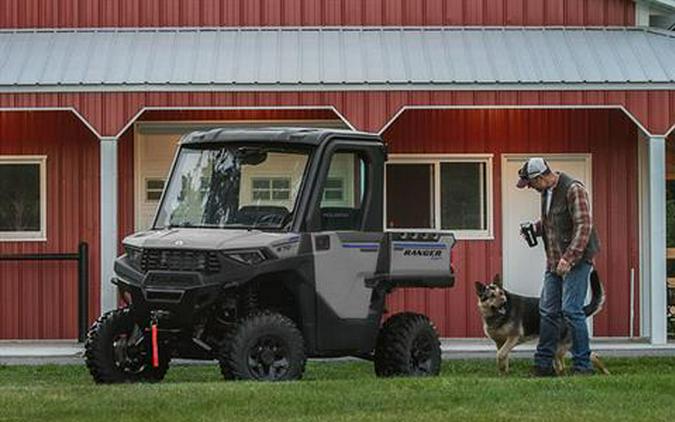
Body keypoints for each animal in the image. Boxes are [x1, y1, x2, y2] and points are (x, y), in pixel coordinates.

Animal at [472, 272, 608, 374]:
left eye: (501, 293)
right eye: (491, 296)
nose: (504, 302)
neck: (497, 315)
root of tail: (578, 311)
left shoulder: (512, 338)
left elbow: (500, 355)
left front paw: (502, 371)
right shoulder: (500, 343)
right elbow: (503, 357)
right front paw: (503, 374)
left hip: (563, 346)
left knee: (574, 360)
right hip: (562, 346)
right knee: (589, 356)